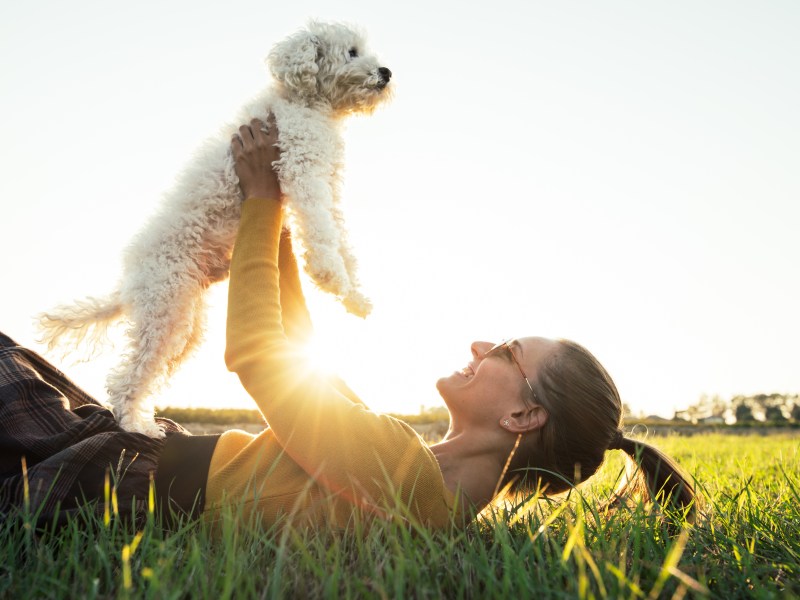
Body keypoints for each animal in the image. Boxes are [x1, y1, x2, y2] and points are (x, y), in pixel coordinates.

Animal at [39, 22, 392, 436]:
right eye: (352, 52)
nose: (386, 73)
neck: (308, 103)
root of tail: (130, 282)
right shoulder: (302, 170)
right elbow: (322, 235)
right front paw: (331, 279)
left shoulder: (328, 184)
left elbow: (341, 239)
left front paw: (355, 295)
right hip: (165, 310)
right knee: (128, 377)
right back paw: (134, 426)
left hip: (184, 320)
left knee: (149, 371)